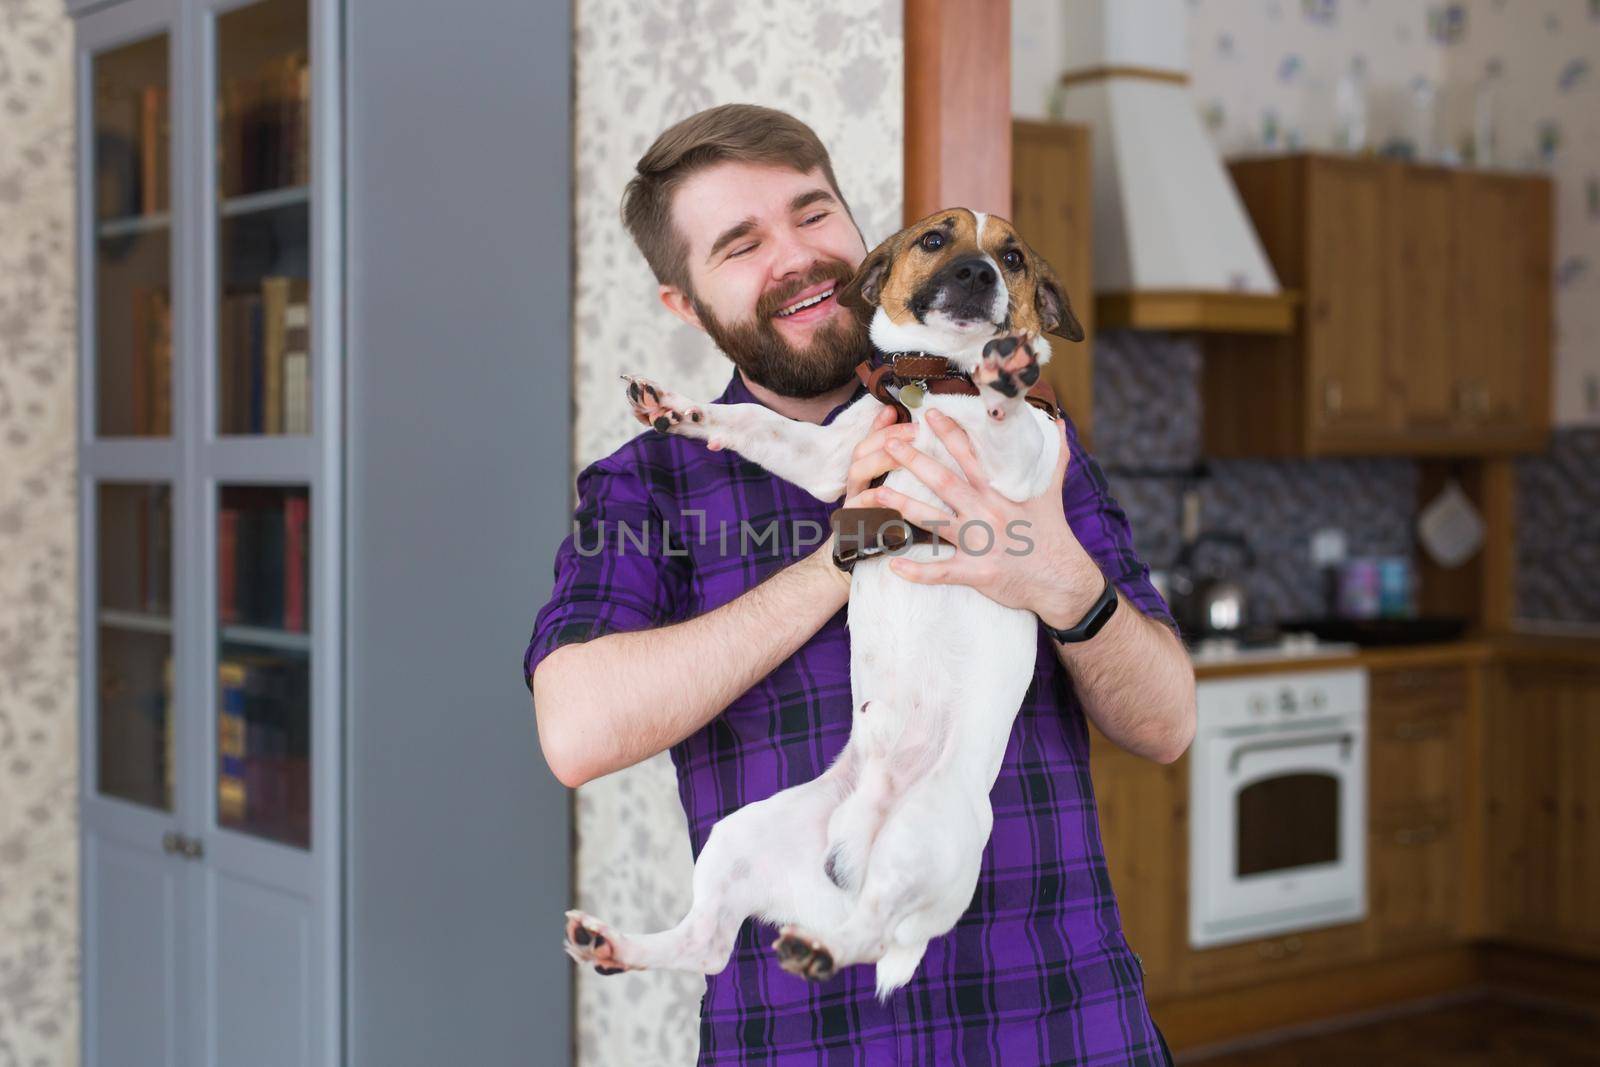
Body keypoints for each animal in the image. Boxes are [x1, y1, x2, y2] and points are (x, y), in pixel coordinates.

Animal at [560, 207, 1088, 1004]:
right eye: (936, 239)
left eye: (1014, 257)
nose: (976, 274)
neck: (938, 383)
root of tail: (853, 846)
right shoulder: (832, 459)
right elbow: (755, 426)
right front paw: (680, 410)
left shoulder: (1014, 469)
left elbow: (1005, 415)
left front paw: (1006, 372)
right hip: (739, 835)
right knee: (708, 946)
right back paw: (614, 941)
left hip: (919, 837)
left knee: (869, 932)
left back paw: (822, 947)